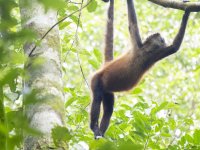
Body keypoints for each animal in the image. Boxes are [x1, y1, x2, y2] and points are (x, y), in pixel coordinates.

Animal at [90, 0, 191, 139]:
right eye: (158, 36)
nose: (160, 36)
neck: (146, 51)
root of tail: (104, 67)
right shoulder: (139, 46)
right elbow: (132, 24)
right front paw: (187, 12)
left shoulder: (152, 54)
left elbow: (174, 47)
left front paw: (186, 11)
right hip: (96, 80)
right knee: (97, 98)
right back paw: (94, 128)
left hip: (107, 89)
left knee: (108, 109)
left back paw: (101, 134)